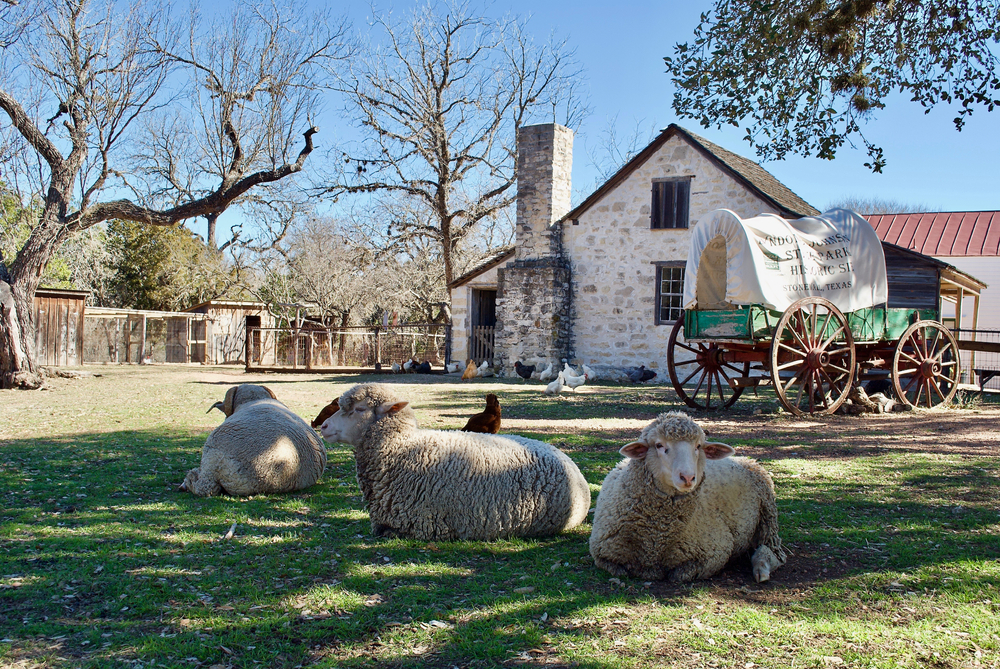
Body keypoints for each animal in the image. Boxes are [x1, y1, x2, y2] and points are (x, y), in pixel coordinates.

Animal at [588, 410, 784, 580]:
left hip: (768, 515)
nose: (688, 477)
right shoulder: (603, 553)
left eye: (698, 446)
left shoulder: (714, 552)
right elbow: (620, 569)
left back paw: (761, 569)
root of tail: (743, 459)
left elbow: (678, 575)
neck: (656, 536)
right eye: (659, 445)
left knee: (772, 551)